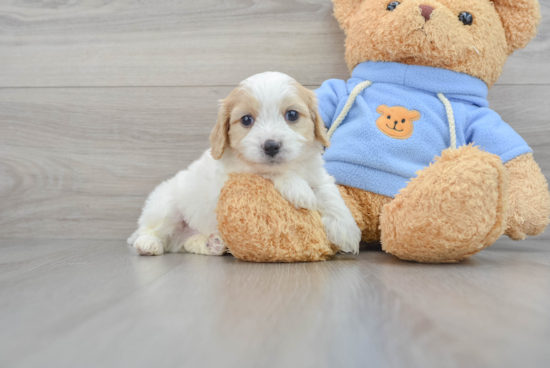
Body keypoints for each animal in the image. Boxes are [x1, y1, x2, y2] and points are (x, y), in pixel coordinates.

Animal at [128, 71, 362, 256]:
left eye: (292, 115)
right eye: (247, 120)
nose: (271, 146)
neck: (292, 166)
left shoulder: (317, 173)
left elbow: (328, 192)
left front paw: (345, 229)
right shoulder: (237, 171)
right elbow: (266, 171)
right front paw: (299, 189)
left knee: (184, 243)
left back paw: (212, 244)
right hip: (165, 206)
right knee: (151, 232)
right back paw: (148, 244)